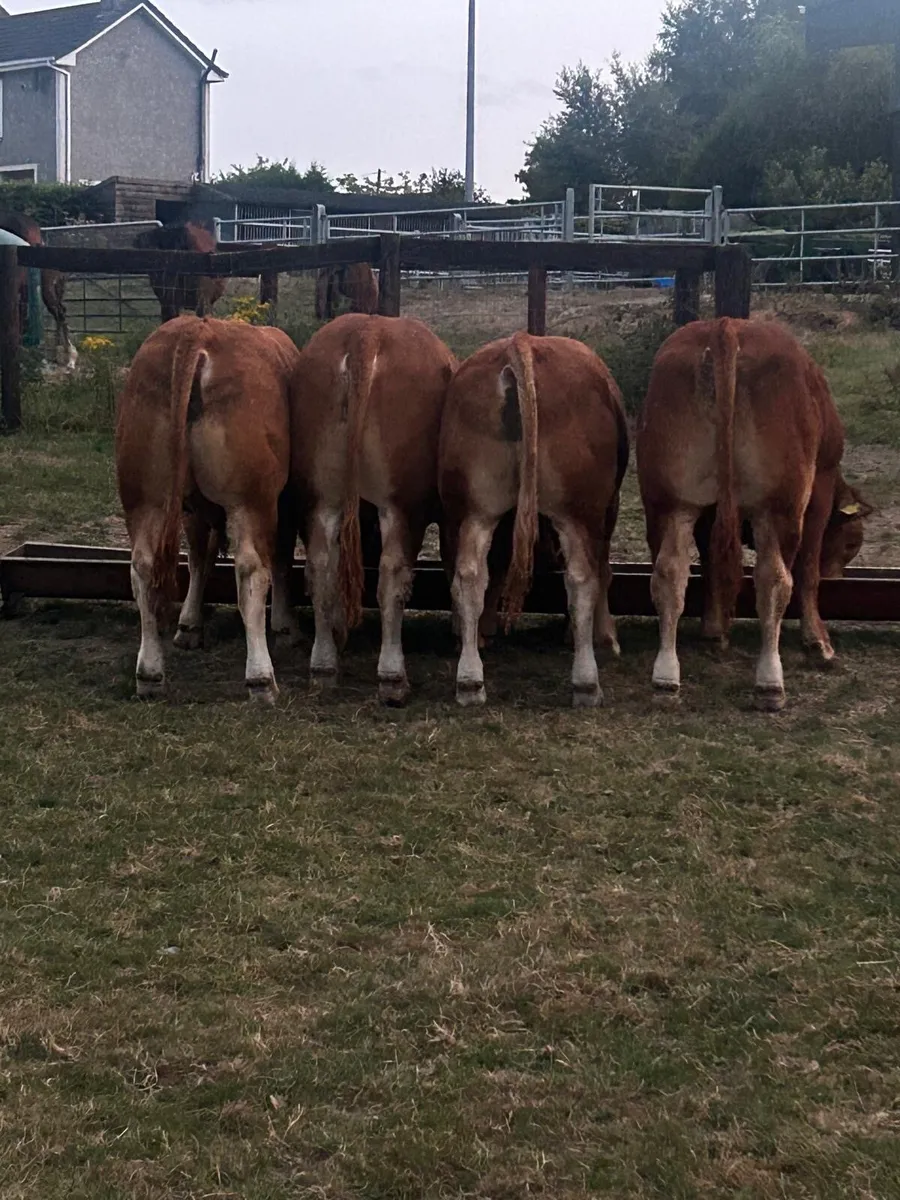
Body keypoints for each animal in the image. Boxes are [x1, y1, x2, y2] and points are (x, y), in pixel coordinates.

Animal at [116, 315, 300, 703]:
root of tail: (195, 332)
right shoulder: (284, 504)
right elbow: (280, 561)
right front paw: (285, 626)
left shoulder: (191, 510)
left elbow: (200, 557)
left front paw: (189, 624)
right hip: (251, 500)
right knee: (251, 569)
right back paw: (261, 677)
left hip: (145, 496)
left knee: (144, 567)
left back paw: (150, 672)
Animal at [288, 313, 456, 704]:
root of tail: (368, 332)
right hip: (401, 505)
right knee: (392, 576)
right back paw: (393, 677)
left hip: (326, 494)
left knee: (321, 568)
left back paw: (324, 666)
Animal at [439, 332, 629, 708]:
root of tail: (521, 343)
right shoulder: (607, 507)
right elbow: (603, 570)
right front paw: (604, 637)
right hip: (578, 512)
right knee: (581, 579)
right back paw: (586, 683)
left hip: (474, 510)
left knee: (469, 577)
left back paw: (470, 681)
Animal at [636, 317, 871, 712]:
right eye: (853, 541)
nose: (837, 575)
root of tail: (725, 326)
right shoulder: (820, 487)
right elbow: (807, 570)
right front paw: (818, 641)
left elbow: (710, 562)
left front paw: (714, 632)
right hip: (778, 506)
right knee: (774, 578)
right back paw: (770, 681)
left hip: (669, 501)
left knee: (669, 573)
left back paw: (666, 677)